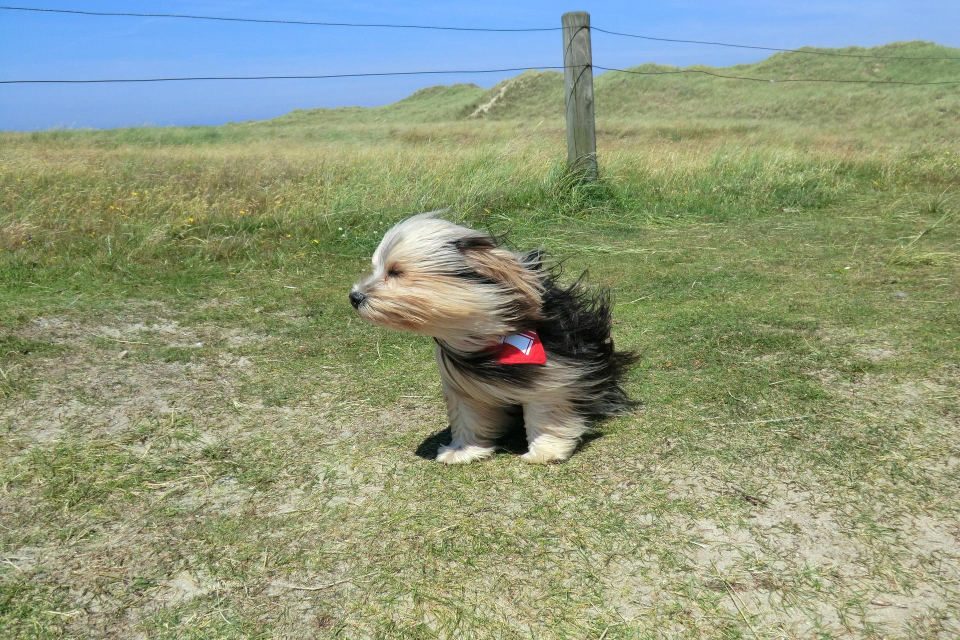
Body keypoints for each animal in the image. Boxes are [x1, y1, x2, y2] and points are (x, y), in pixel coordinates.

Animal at [348, 212, 632, 462]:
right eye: (376, 269)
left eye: (396, 271)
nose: (355, 297)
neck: (486, 333)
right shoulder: (462, 386)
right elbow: (468, 416)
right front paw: (463, 451)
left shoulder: (555, 372)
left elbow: (546, 410)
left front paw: (545, 451)